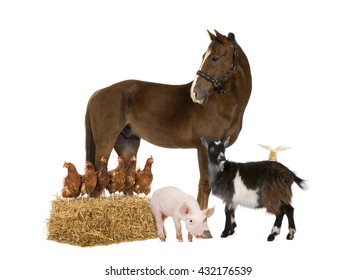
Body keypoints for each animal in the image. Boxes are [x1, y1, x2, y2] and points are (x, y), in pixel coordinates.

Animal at [85, 30, 253, 236]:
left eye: (214, 57)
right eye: (205, 56)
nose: (195, 93)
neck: (222, 104)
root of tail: (99, 93)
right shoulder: (203, 148)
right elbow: (205, 184)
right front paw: (204, 229)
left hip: (127, 144)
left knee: (126, 181)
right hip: (105, 143)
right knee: (97, 178)